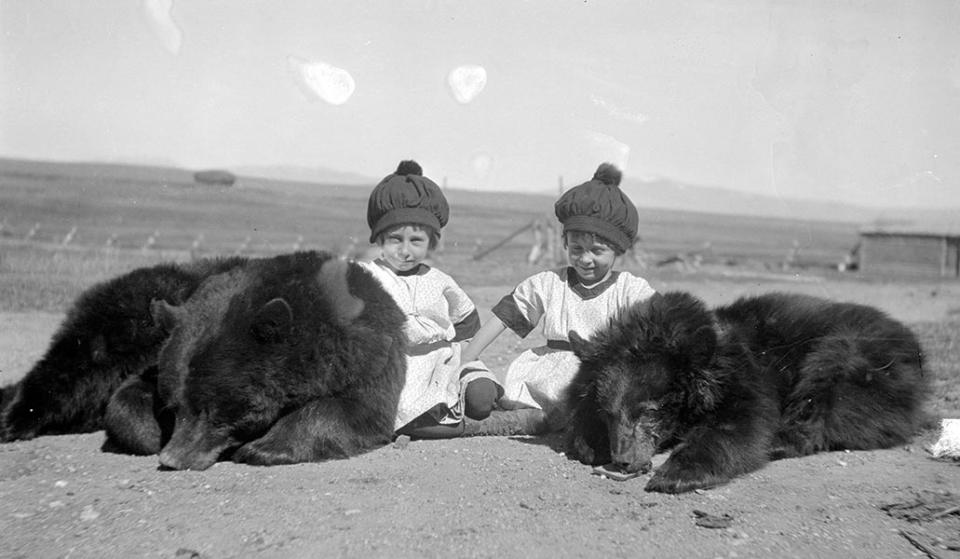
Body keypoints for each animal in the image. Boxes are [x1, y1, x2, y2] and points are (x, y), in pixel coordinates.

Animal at [104, 252, 404, 470]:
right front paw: (148, 433)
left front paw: (261, 448)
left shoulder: (369, 349)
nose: (172, 459)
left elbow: (358, 409)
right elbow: (131, 392)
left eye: (212, 410)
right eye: (173, 405)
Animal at [568, 294, 928, 494]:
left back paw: (782, 440)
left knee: (826, 393)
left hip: (855, 355)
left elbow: (741, 422)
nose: (623, 459)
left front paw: (677, 475)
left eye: (650, 410)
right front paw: (590, 443)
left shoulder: (745, 377)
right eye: (607, 413)